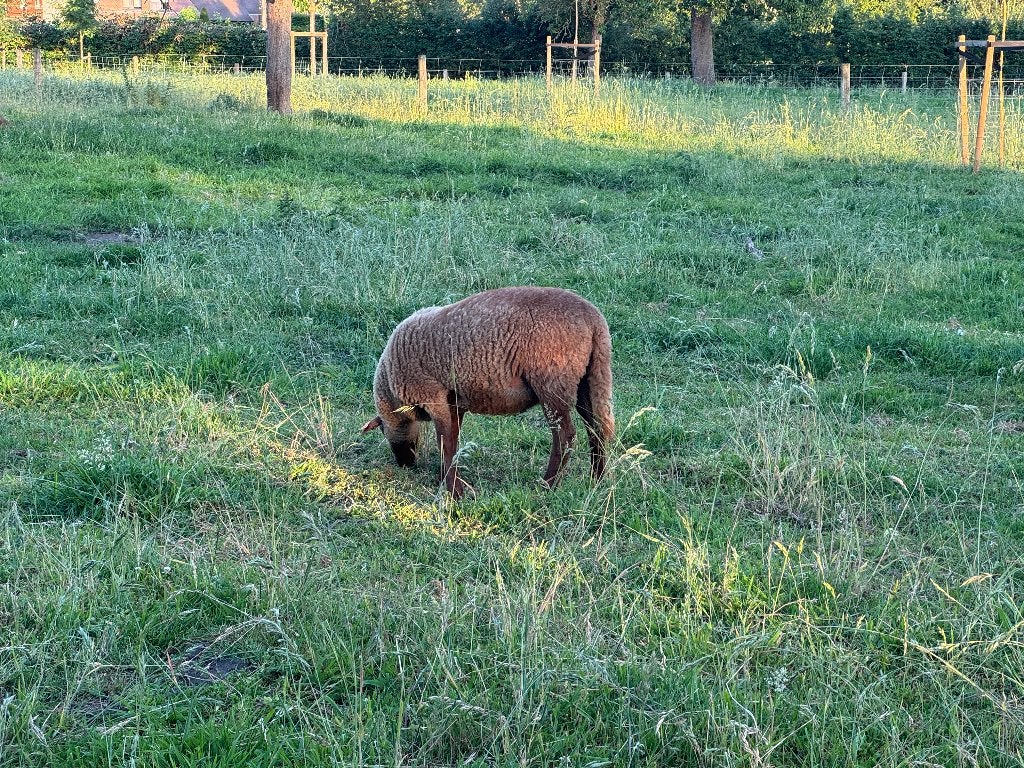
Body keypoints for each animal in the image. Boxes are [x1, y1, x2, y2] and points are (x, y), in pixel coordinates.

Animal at [362, 286, 614, 498]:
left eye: (382, 430)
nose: (404, 463)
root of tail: (594, 320)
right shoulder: (455, 401)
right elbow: (453, 440)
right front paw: (449, 479)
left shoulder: (432, 396)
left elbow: (445, 442)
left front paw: (454, 491)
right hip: (587, 379)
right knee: (596, 428)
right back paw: (597, 479)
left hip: (552, 383)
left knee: (565, 435)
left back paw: (548, 485)